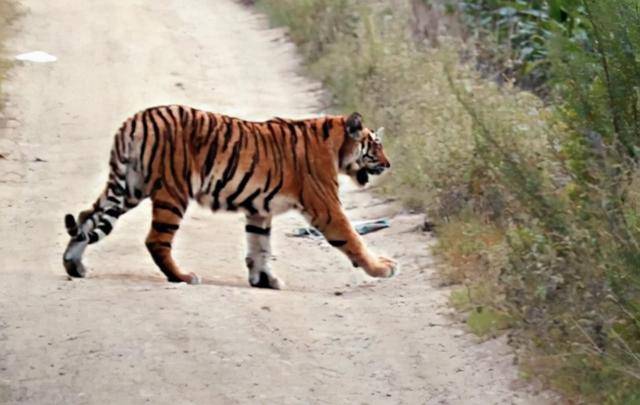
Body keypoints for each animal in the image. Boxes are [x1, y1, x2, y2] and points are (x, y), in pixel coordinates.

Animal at [63, 104, 396, 288]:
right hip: (172, 192)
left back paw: (74, 265)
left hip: (128, 189)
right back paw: (183, 277)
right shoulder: (326, 206)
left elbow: (260, 246)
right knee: (155, 240)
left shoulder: (260, 210)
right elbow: (354, 239)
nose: (389, 164)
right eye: (376, 146)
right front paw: (383, 268)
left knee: (85, 218)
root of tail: (135, 120)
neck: (336, 145)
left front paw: (265, 281)